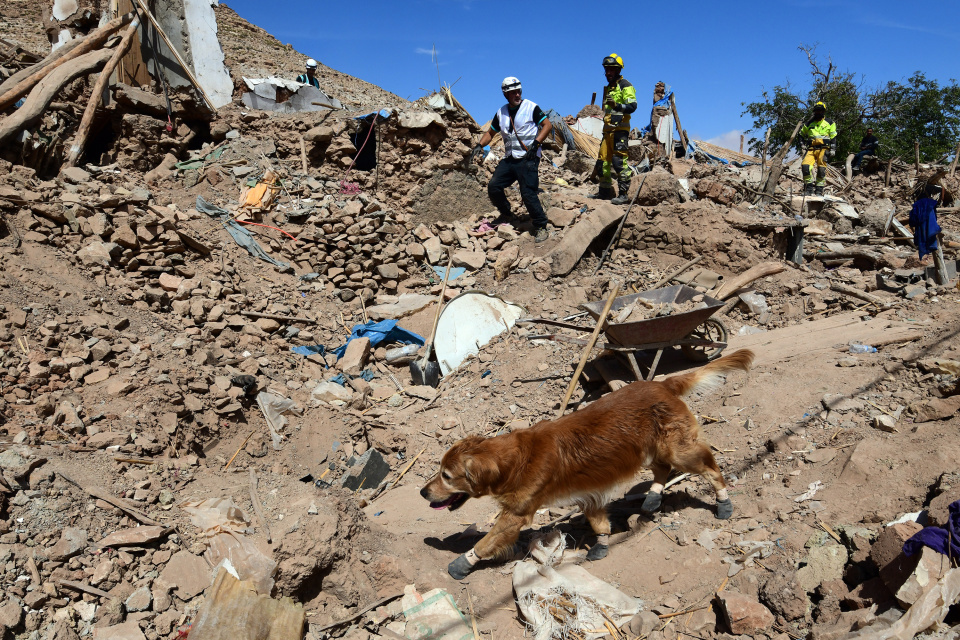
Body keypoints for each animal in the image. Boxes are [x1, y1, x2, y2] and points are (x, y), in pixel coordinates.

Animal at [424, 350, 752, 580]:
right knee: (661, 470)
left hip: (678, 450)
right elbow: (599, 523)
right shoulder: (587, 493)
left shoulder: (516, 515)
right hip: (652, 449)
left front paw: (461, 564)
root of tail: (663, 384)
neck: (517, 459)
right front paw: (602, 544)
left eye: (446, 476)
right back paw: (653, 497)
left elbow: (487, 541)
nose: (422, 492)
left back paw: (723, 502)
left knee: (710, 468)